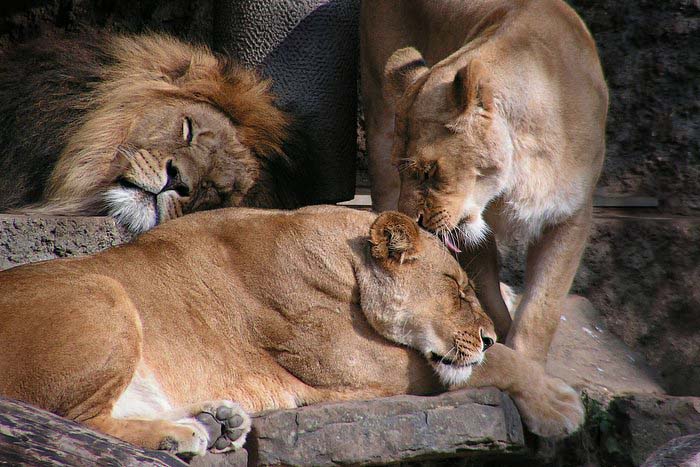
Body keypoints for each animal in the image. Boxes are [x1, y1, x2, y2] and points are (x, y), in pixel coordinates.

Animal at [0, 206, 583, 458]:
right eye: (457, 289)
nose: (486, 336)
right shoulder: (360, 366)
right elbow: (497, 365)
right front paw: (560, 406)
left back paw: (218, 420)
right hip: (106, 292)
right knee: (71, 423)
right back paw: (181, 434)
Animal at [360, 0, 608, 362]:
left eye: (429, 171)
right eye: (403, 169)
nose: (414, 221)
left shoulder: (571, 216)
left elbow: (541, 311)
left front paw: (526, 361)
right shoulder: (467, 228)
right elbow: (485, 285)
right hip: (379, 117)